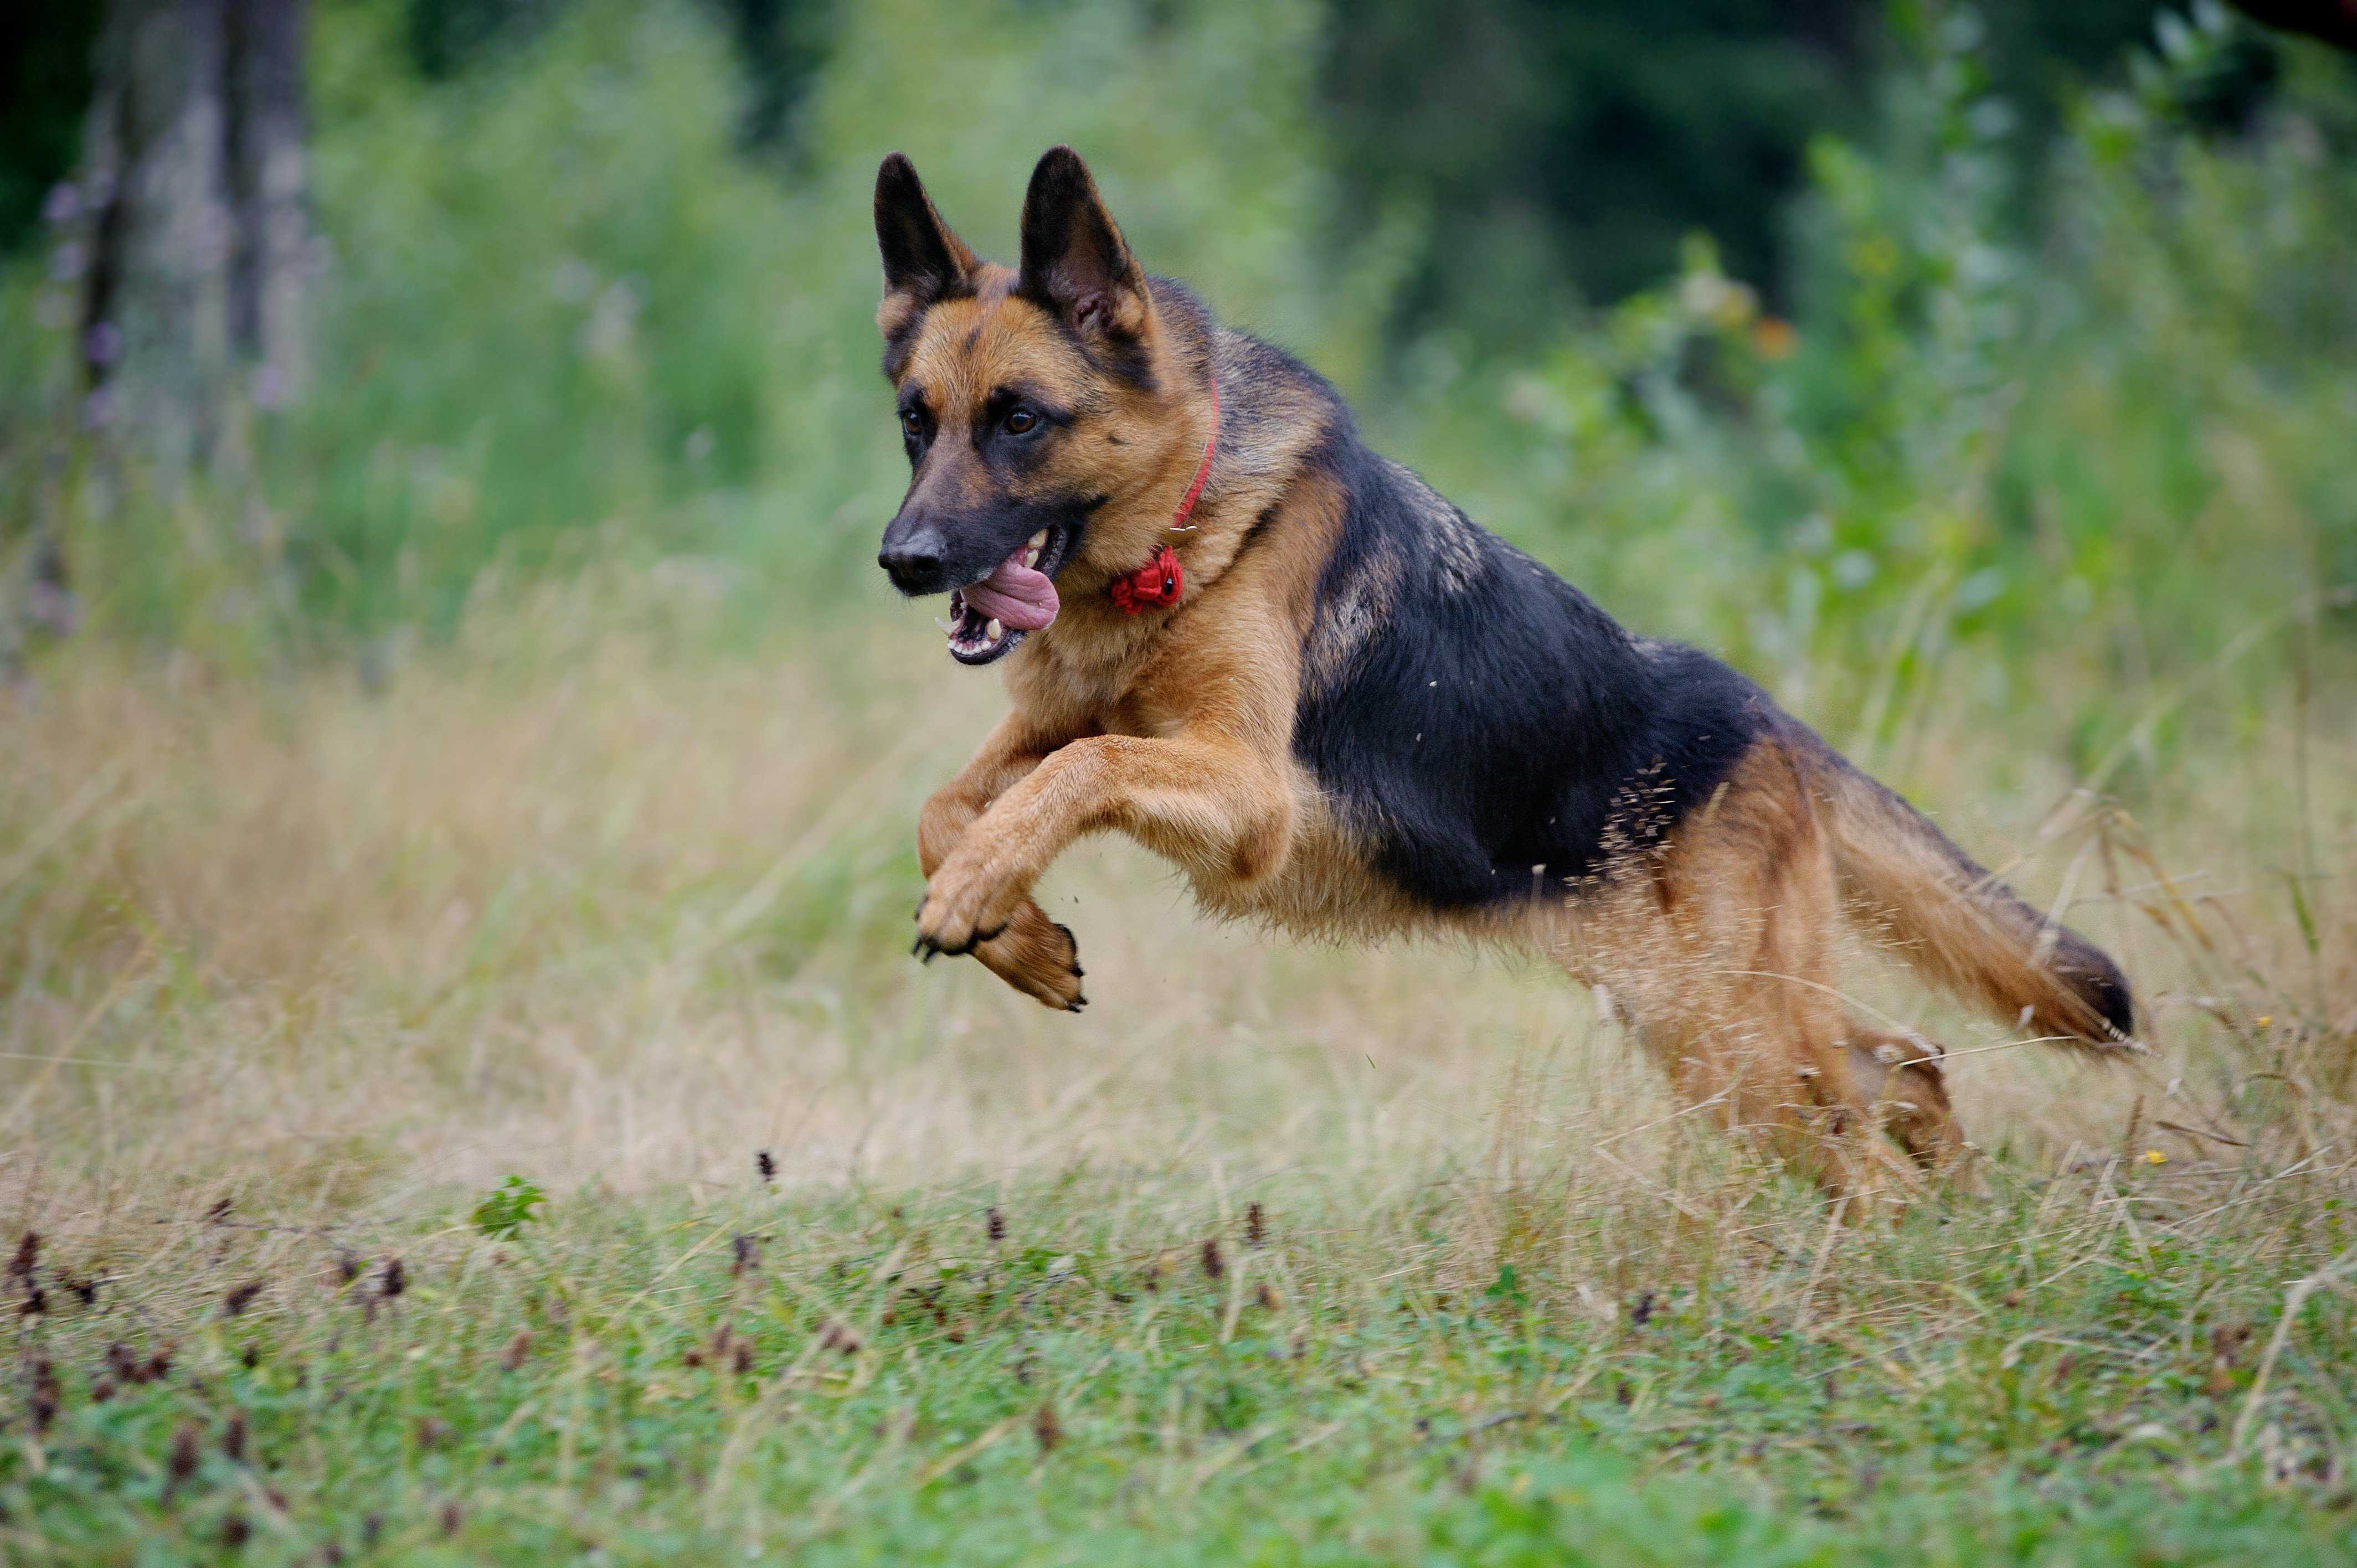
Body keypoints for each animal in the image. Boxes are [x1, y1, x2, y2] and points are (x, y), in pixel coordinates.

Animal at [881, 149, 2140, 1188]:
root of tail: (1763, 716)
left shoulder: (1247, 795)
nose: (904, 561)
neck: (1182, 533)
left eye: (1021, 421)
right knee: (1908, 1063)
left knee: (1867, 1144)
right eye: (915, 422)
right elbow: (947, 803)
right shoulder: (1050, 733)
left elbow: (1083, 768)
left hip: (1730, 1036)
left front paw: (984, 893)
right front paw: (1010, 930)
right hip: (1696, 1017)